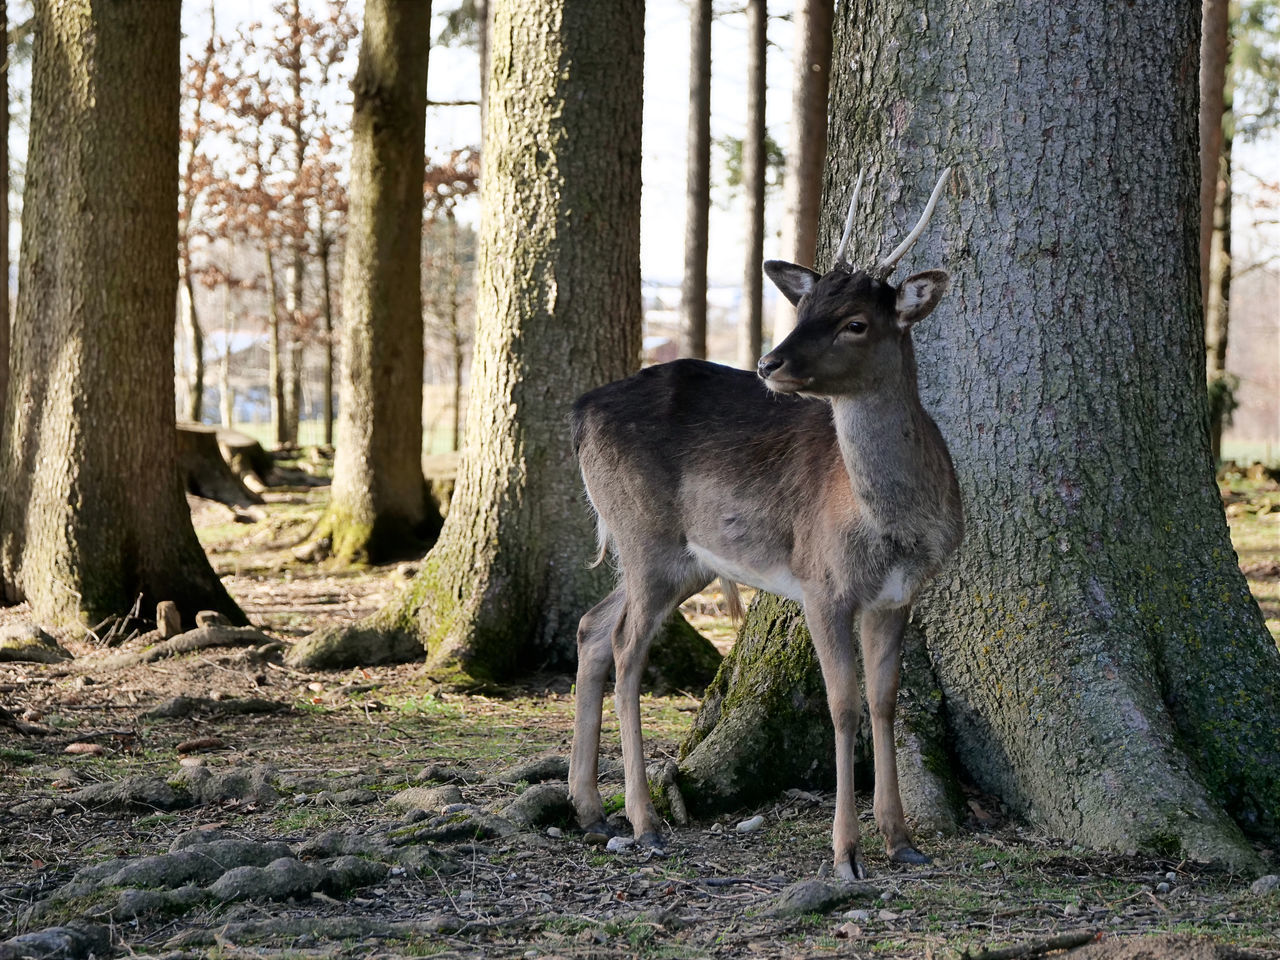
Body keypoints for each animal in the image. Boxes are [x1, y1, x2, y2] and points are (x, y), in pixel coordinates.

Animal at [570, 171, 962, 880]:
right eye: (804, 310)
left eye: (856, 322)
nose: (769, 363)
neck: (893, 526)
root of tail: (579, 414)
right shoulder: (821, 583)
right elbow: (843, 705)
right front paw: (846, 853)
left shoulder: (899, 596)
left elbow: (885, 699)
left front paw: (902, 840)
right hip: (643, 535)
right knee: (626, 647)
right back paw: (643, 822)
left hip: (682, 559)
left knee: (592, 627)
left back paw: (590, 812)